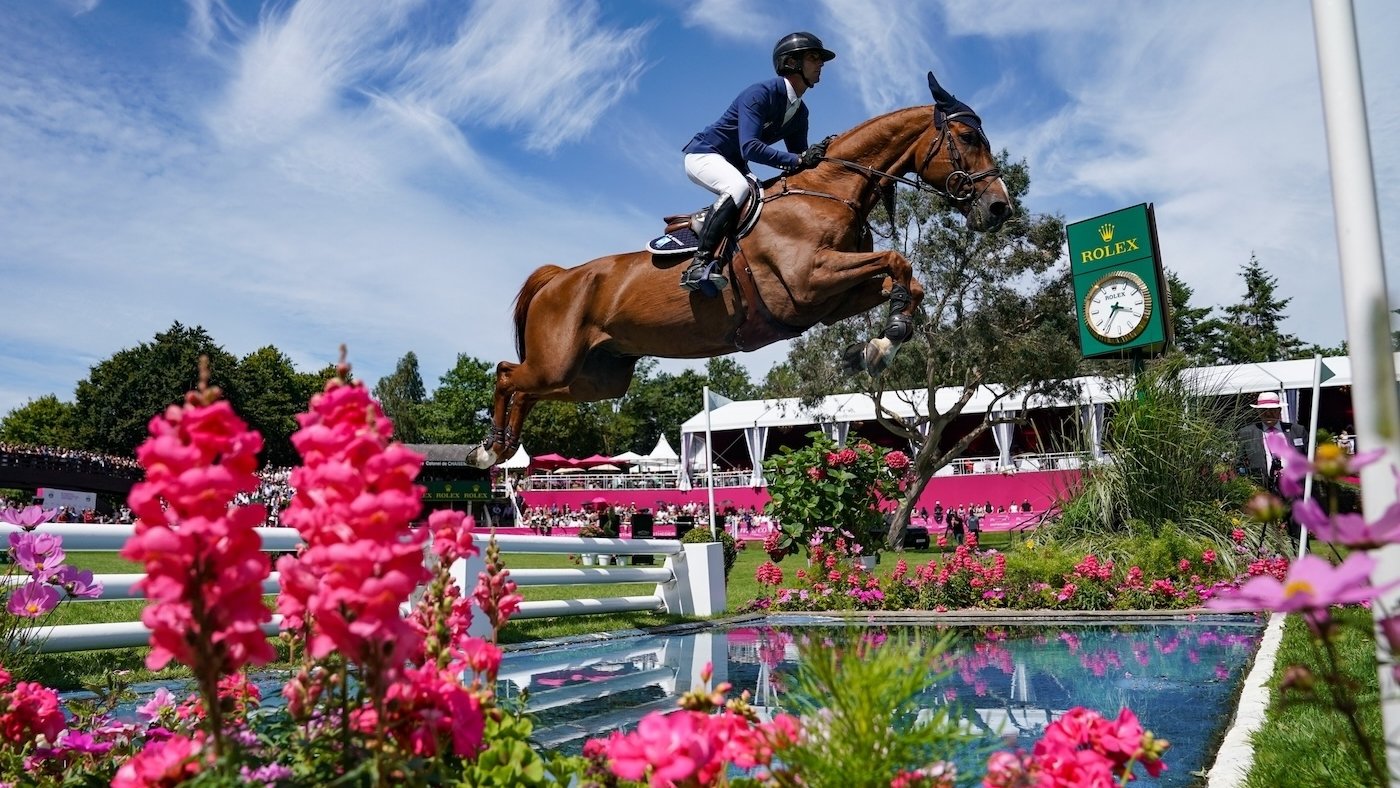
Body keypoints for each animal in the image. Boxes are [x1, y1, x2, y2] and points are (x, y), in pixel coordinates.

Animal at [470, 72, 1008, 467]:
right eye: (966, 137)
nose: (999, 208)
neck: (830, 191)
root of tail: (560, 277)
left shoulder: (831, 300)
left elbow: (908, 282)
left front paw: (877, 346)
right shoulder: (808, 282)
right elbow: (900, 261)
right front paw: (881, 341)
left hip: (596, 379)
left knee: (526, 388)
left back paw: (501, 446)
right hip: (559, 362)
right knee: (507, 375)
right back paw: (488, 449)